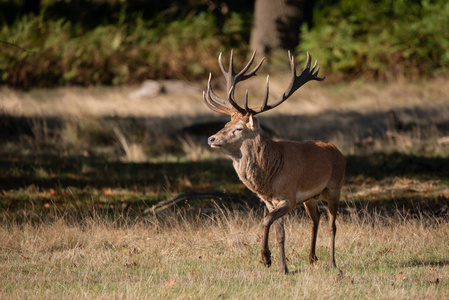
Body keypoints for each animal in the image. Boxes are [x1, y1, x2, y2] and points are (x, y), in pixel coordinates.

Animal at [203, 49, 346, 274]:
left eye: (238, 128)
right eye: (226, 124)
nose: (211, 138)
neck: (270, 177)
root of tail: (338, 151)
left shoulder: (288, 197)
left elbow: (266, 220)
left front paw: (266, 258)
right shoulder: (270, 201)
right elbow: (280, 233)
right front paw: (282, 267)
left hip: (335, 187)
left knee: (332, 224)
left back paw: (332, 262)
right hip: (311, 197)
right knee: (316, 219)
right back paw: (312, 258)